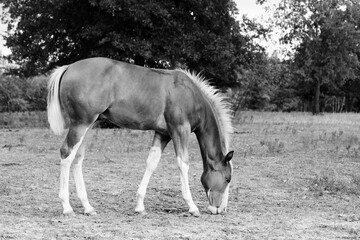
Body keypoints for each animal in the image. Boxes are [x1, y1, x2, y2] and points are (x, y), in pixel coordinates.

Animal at [47, 57, 233, 217]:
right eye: (227, 178)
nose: (221, 209)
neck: (188, 93)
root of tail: (68, 67)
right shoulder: (180, 130)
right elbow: (183, 164)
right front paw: (192, 207)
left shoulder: (163, 134)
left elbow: (151, 163)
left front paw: (139, 206)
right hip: (81, 124)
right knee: (66, 154)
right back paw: (67, 207)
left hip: (88, 125)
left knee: (77, 158)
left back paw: (87, 207)